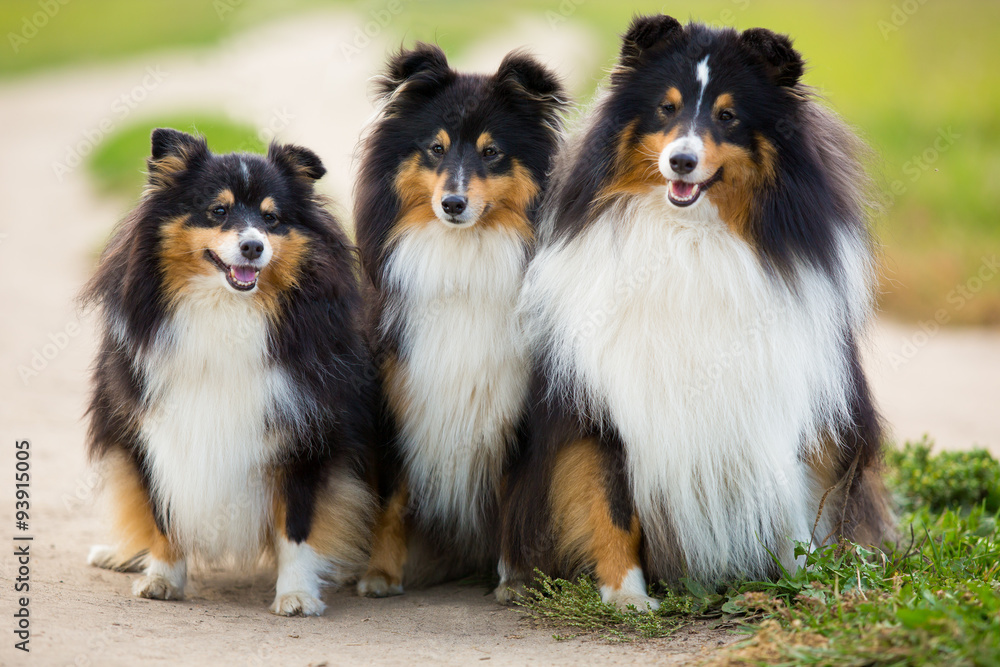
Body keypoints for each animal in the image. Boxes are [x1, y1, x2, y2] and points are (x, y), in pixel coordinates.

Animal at [84, 129, 376, 616]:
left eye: (272, 218)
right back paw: (120, 555)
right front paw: (162, 578)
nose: (253, 246)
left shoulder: (307, 433)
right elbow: (163, 510)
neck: (227, 310)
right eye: (217, 210)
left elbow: (297, 525)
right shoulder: (149, 426)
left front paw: (297, 595)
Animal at [354, 44, 568, 596]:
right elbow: (394, 496)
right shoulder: (399, 395)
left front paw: (516, 580)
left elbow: (516, 495)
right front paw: (380, 575)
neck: (464, 257)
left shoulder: (518, 406)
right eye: (435, 148)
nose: (453, 204)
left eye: (492, 152)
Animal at [500, 14, 900, 612]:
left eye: (728, 116)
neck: (690, 238)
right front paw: (627, 598)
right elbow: (609, 505)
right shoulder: (603, 402)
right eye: (666, 109)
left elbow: (792, 504)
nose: (681, 162)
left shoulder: (786, 398)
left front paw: (805, 584)